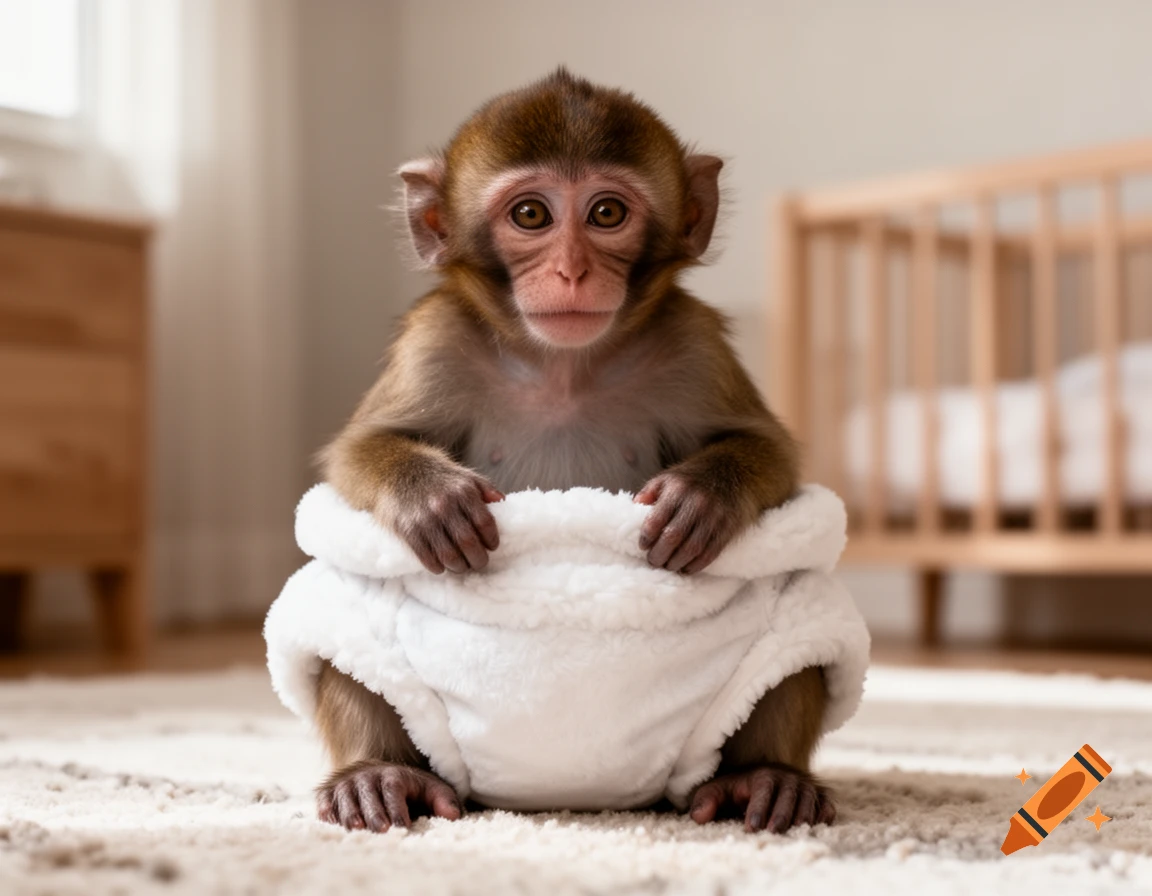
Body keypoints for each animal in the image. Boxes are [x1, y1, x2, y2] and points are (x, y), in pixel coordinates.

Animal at [314, 68, 834, 836]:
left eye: (607, 213)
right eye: (531, 215)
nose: (570, 270)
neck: (562, 366)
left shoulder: (693, 342)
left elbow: (769, 449)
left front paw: (702, 499)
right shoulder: (436, 338)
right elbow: (358, 450)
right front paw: (433, 501)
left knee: (792, 647)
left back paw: (768, 777)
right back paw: (376, 773)